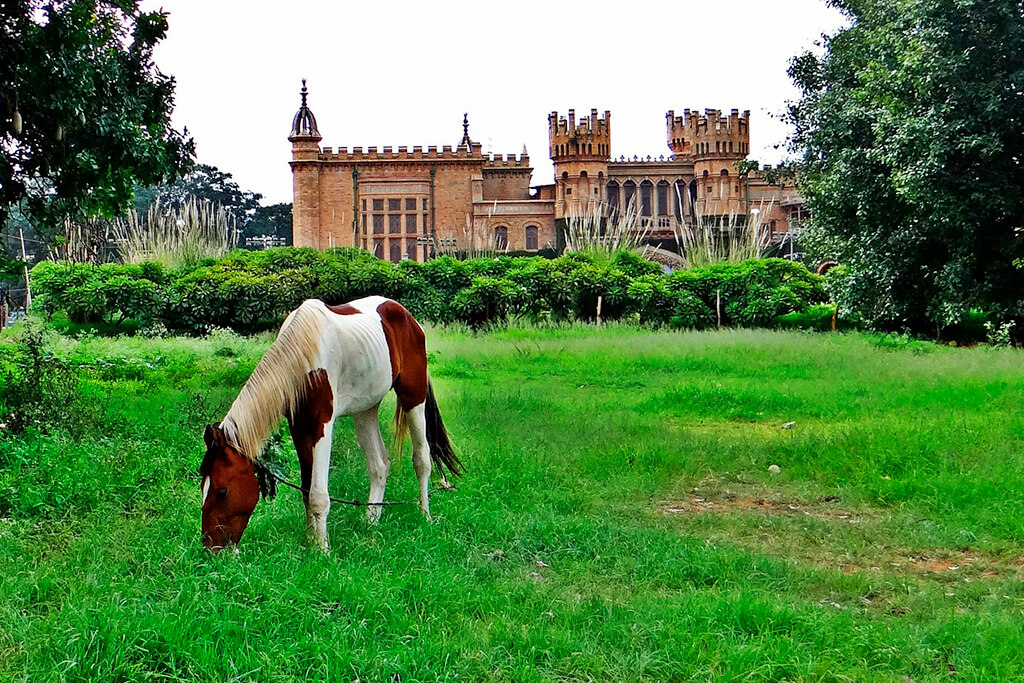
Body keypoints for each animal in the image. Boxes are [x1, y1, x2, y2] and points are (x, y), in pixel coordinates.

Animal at [197, 296, 462, 552]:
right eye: (202, 486)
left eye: (222, 491)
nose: (211, 547)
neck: (303, 360)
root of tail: (408, 317)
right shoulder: (298, 427)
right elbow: (306, 489)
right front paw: (310, 541)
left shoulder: (321, 426)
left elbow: (318, 494)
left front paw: (323, 550)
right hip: (365, 409)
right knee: (379, 464)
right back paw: (371, 520)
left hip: (413, 397)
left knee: (422, 459)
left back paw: (424, 515)